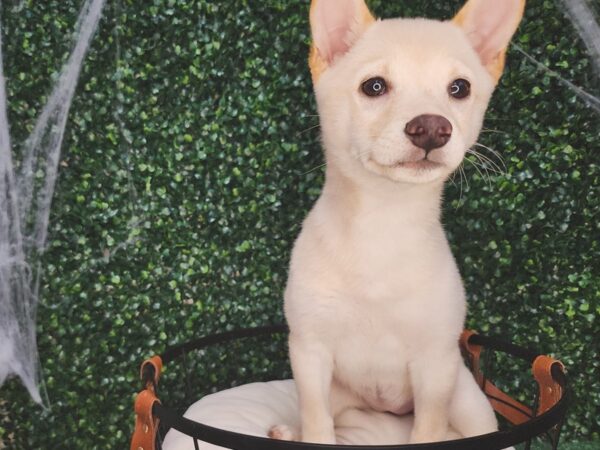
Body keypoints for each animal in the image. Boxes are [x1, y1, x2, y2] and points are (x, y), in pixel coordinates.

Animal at [270, 0, 524, 442]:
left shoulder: (436, 366)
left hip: (468, 399)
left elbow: (429, 429)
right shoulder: (309, 354)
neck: (383, 220)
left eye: (460, 88)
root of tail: (383, 409)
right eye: (374, 87)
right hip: (339, 395)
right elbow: (317, 424)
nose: (432, 128)